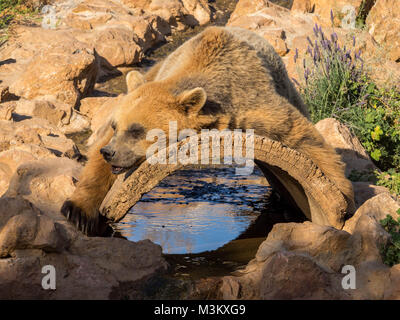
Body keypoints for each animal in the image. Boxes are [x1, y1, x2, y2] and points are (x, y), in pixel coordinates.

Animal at [61, 26, 354, 235]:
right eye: (116, 126)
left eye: (136, 130)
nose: (110, 153)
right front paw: (78, 211)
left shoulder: (254, 105)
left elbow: (302, 136)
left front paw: (340, 202)